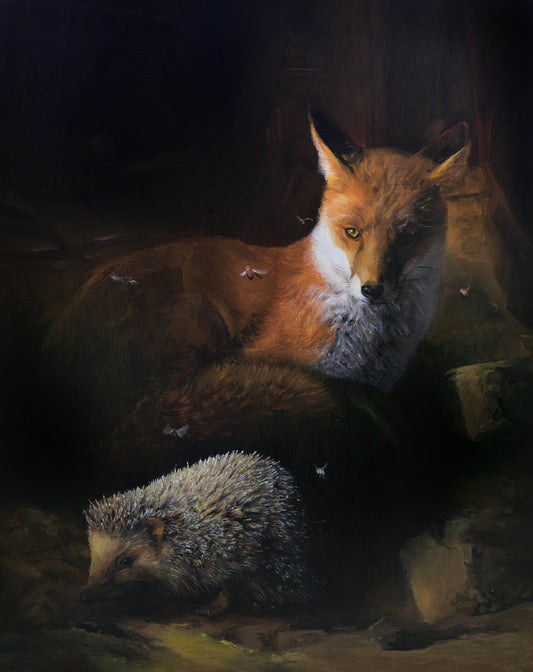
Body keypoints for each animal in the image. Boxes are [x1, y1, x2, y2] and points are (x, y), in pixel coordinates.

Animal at [46, 109, 470, 446]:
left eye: (407, 235)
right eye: (352, 233)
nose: (372, 289)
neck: (368, 344)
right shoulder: (275, 357)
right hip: (195, 317)